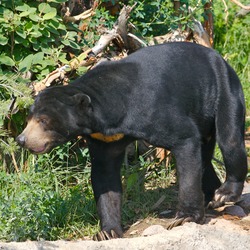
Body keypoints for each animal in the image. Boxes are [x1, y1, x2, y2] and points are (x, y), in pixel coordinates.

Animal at [16, 42, 247, 240]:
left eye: (43, 120)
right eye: (29, 118)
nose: (21, 139)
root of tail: (220, 58)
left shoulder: (152, 110)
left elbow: (185, 138)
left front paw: (185, 217)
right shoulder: (104, 138)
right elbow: (105, 176)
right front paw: (107, 232)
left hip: (225, 91)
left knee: (230, 140)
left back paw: (224, 194)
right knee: (205, 159)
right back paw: (211, 197)